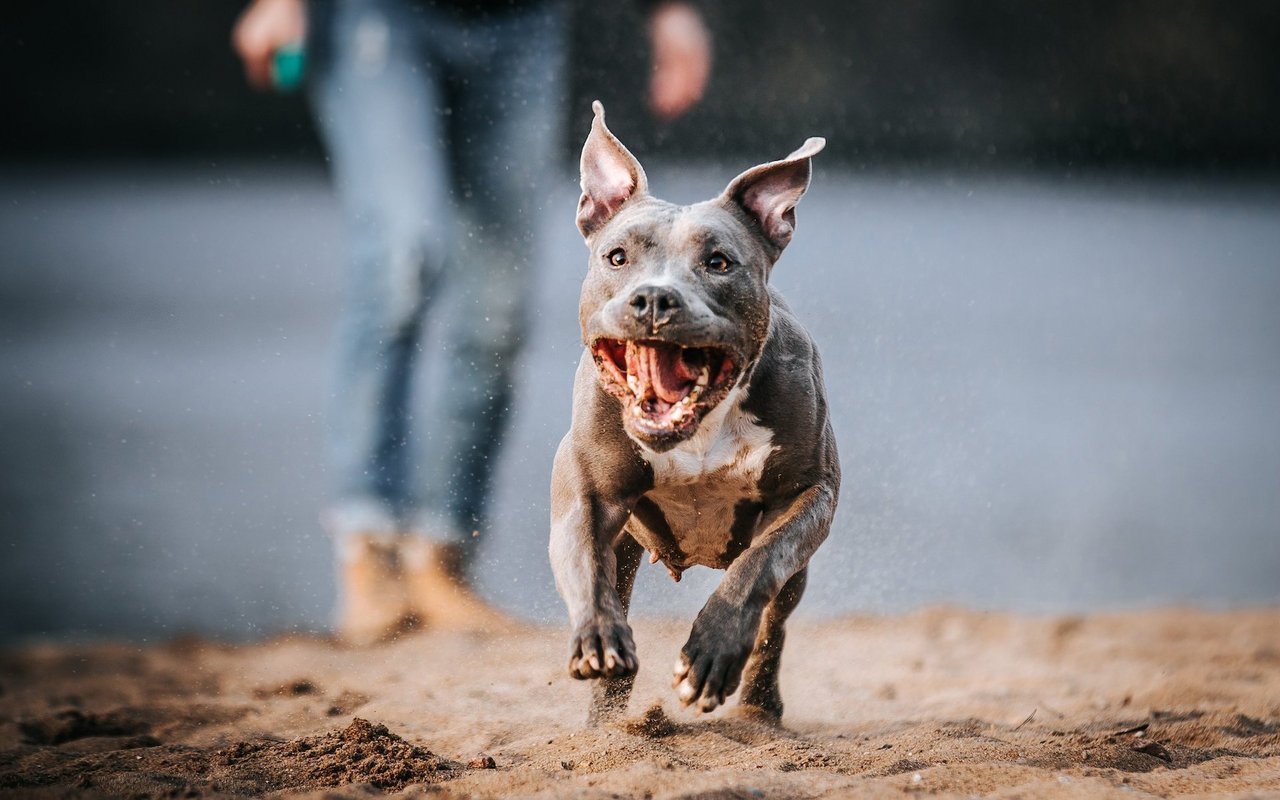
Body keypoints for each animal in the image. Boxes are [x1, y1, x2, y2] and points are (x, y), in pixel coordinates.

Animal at [550, 101, 839, 721]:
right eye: (617, 257)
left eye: (719, 262)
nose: (655, 298)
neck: (699, 427)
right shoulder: (587, 491)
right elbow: (585, 562)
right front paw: (598, 637)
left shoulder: (809, 492)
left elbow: (758, 567)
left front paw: (711, 655)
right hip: (628, 545)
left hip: (797, 574)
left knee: (775, 620)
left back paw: (759, 706)